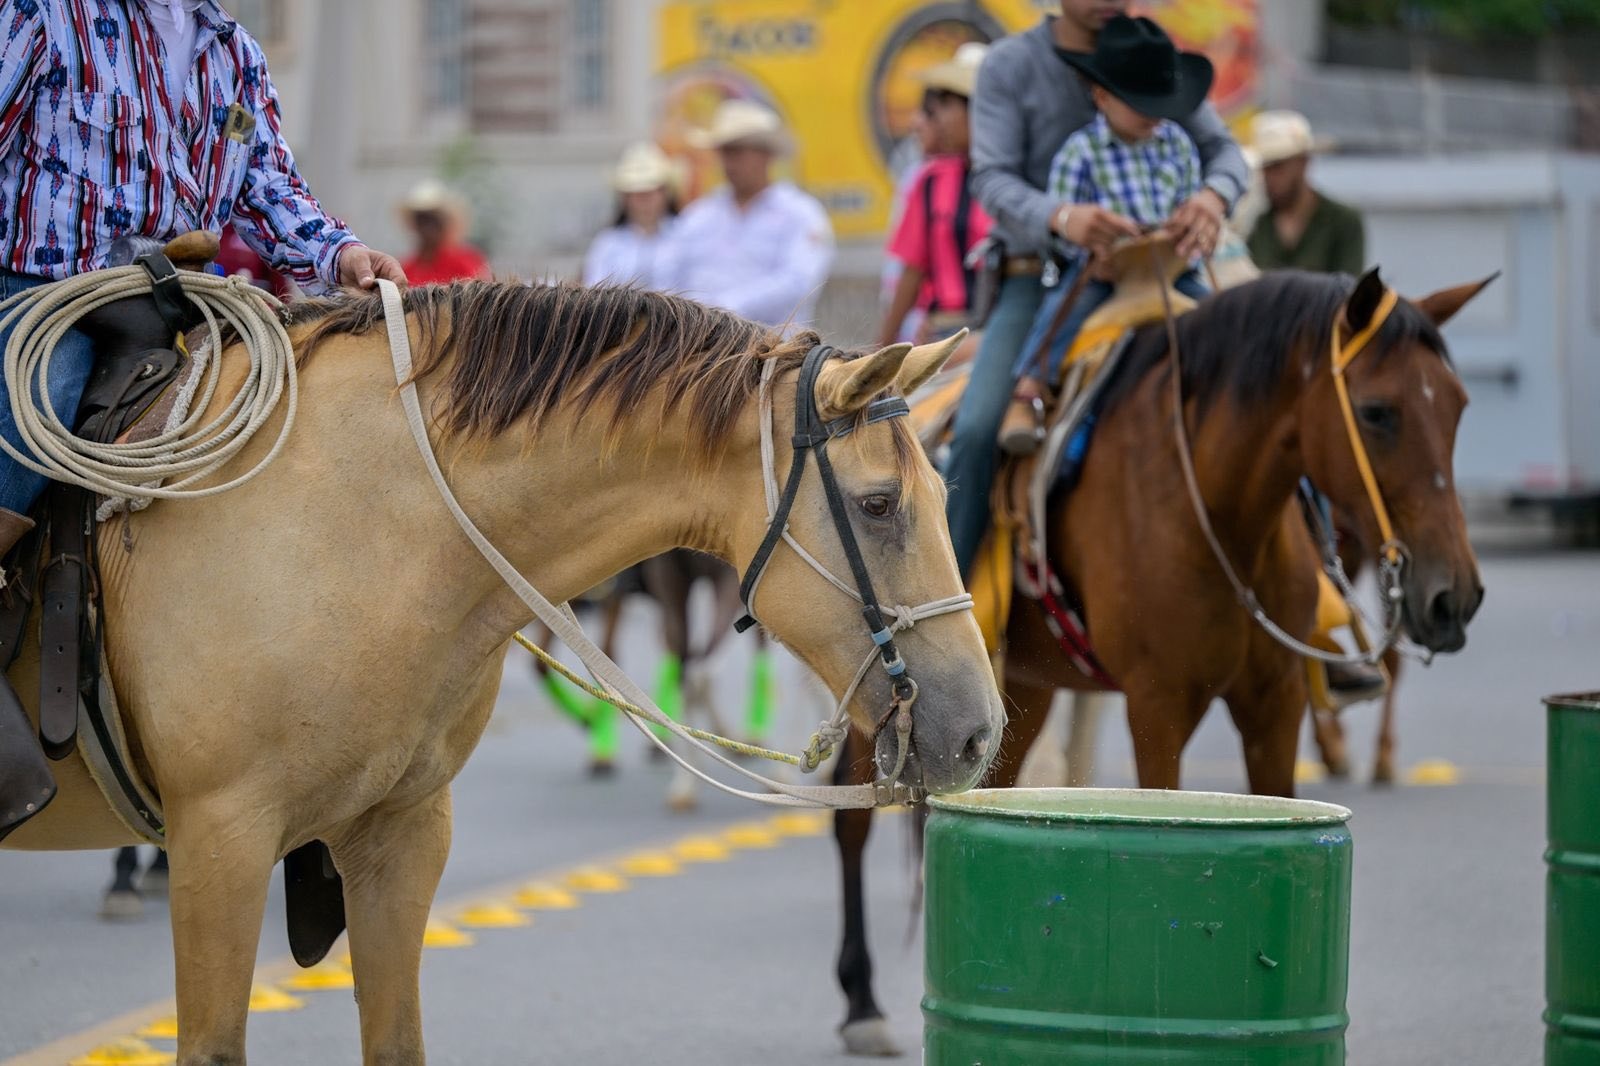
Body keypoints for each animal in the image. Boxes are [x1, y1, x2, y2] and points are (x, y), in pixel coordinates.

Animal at [0, 279, 1004, 1066]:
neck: (361, 522)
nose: (979, 730)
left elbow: (398, 1041)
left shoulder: (400, 834)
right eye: (879, 504)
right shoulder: (223, 839)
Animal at [827, 266, 1491, 1055]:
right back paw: (861, 1002)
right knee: (851, 820)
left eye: (1458, 408)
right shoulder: (1159, 704)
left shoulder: (1276, 705)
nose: (1454, 598)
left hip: (1020, 686)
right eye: (1378, 411)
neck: (1214, 504)